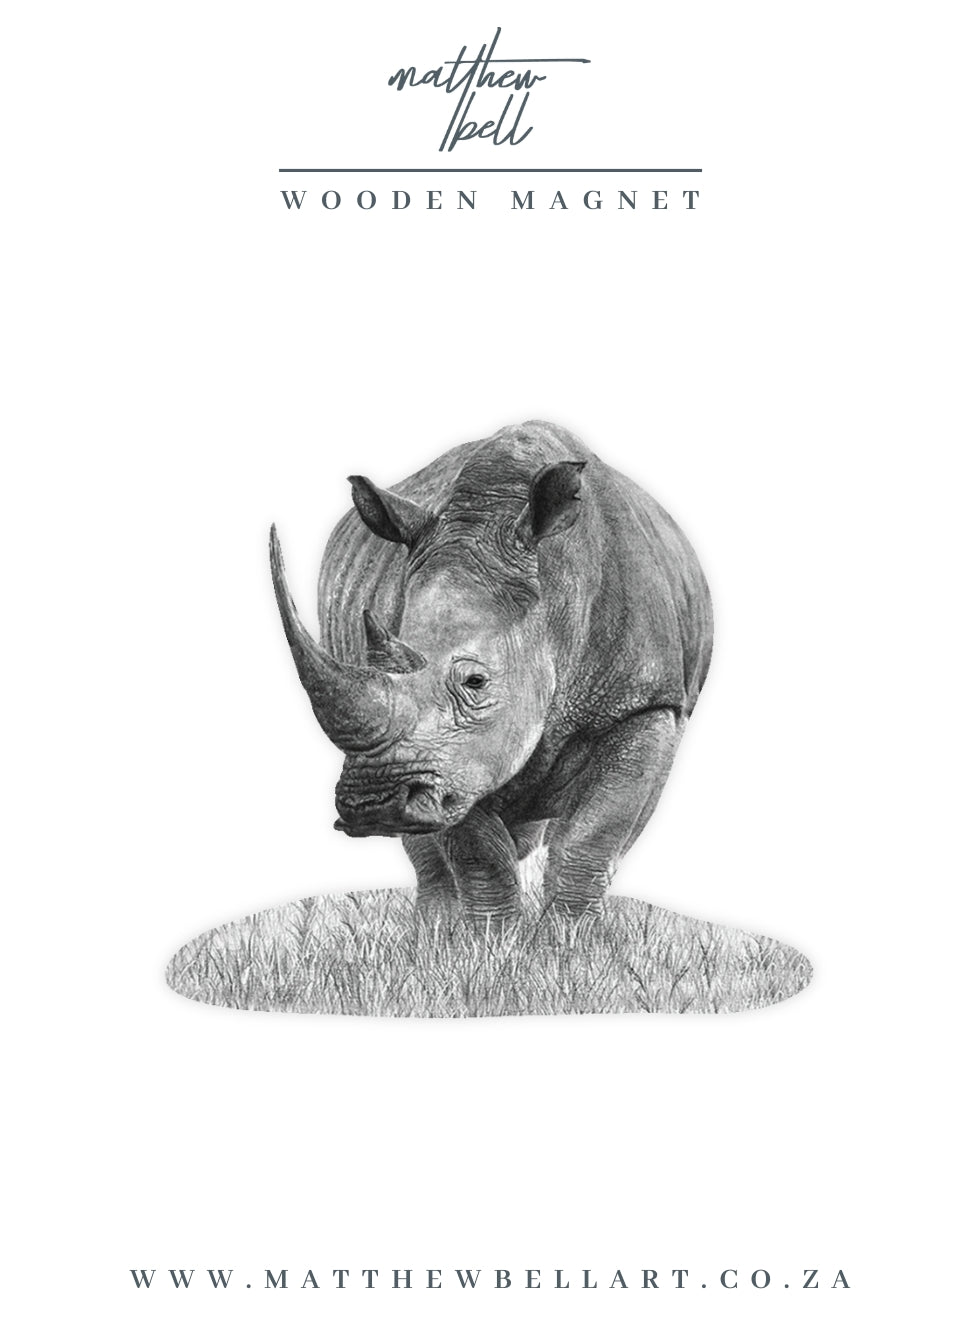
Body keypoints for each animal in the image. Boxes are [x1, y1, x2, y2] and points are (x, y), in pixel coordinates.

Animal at [270, 421, 712, 920]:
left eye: (476, 682)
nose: (372, 804)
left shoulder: (646, 703)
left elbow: (590, 840)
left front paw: (569, 939)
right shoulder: (456, 761)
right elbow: (480, 853)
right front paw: (491, 940)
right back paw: (435, 930)